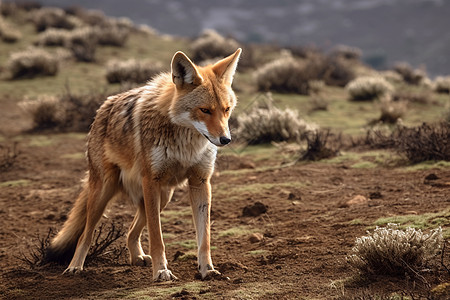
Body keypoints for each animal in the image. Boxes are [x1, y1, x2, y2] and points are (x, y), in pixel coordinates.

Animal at [44, 47, 243, 282]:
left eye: (226, 110)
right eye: (205, 110)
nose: (225, 139)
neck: (186, 144)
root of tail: (102, 108)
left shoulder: (200, 182)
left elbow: (205, 239)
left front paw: (207, 270)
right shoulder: (151, 181)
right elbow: (157, 238)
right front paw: (161, 271)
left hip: (164, 196)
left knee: (131, 231)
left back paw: (137, 257)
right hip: (104, 193)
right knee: (86, 234)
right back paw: (75, 266)